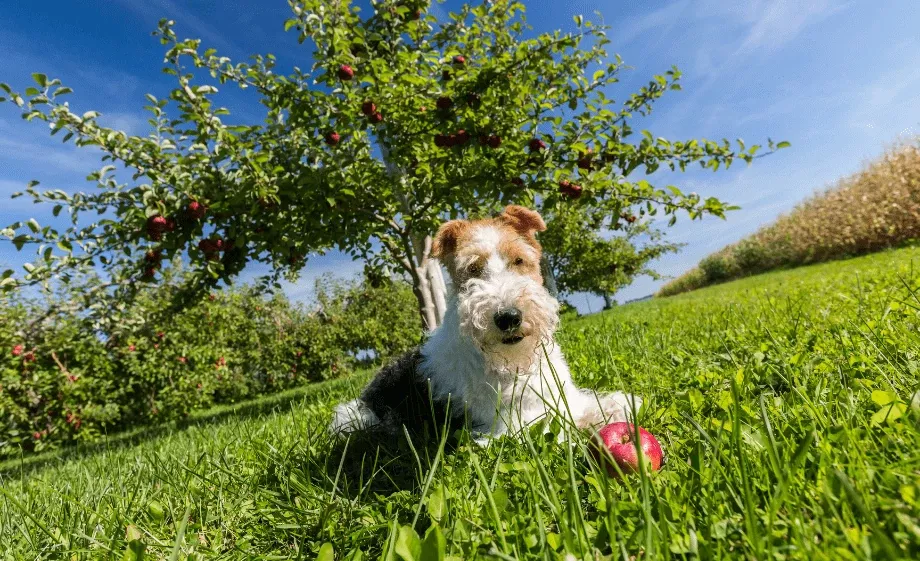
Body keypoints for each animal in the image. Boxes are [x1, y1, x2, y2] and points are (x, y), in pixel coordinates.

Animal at [328, 203, 640, 444]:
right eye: (472, 269)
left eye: (519, 260)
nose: (508, 317)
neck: (514, 363)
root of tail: (365, 395)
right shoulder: (516, 427)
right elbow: (565, 429)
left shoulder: (565, 397)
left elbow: (601, 403)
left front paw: (626, 405)